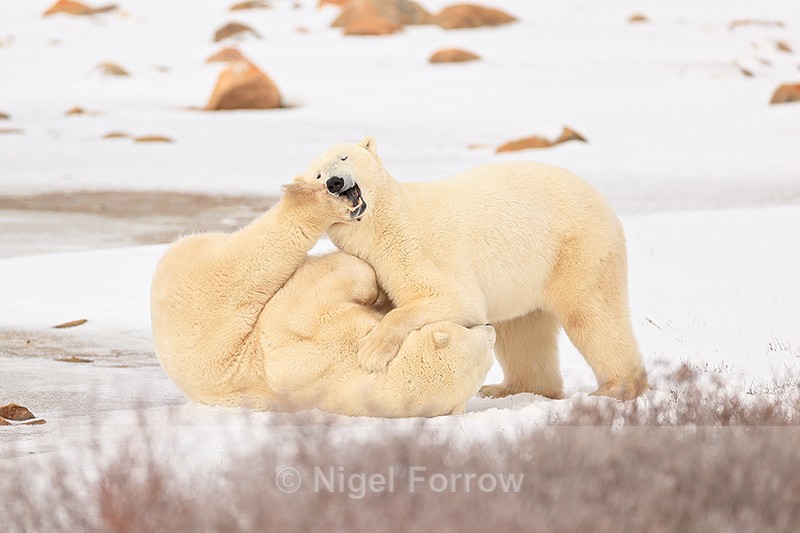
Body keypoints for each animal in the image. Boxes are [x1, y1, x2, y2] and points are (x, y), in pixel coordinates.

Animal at [150, 181, 495, 417]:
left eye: (488, 360)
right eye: (471, 331)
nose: (490, 327)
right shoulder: (314, 327)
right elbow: (347, 278)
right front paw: (380, 295)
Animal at [293, 137, 648, 401]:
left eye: (343, 158)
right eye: (317, 176)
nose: (335, 182)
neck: (382, 225)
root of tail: (601, 199)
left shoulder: (419, 248)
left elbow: (454, 299)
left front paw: (370, 352)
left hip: (577, 248)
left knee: (591, 314)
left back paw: (616, 388)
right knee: (522, 331)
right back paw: (506, 389)